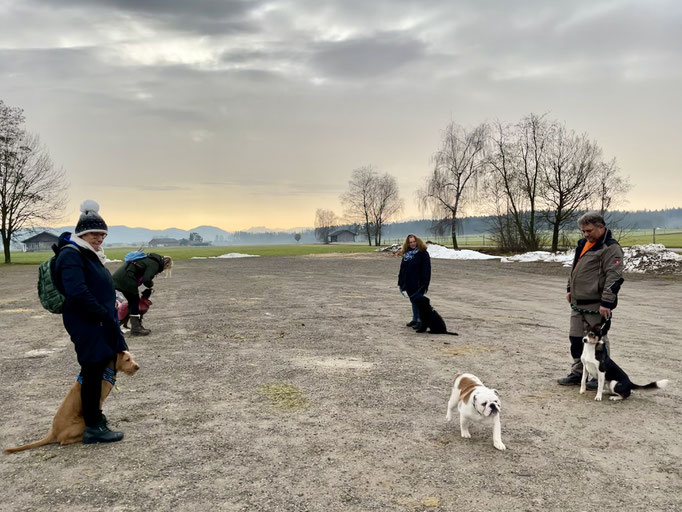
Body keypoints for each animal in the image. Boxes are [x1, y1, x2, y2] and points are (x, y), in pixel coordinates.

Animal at [3, 350, 139, 454]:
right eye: (127, 359)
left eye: (132, 358)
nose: (137, 366)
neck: (105, 370)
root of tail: (53, 432)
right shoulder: (98, 400)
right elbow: (99, 414)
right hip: (81, 422)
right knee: (63, 441)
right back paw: (82, 438)